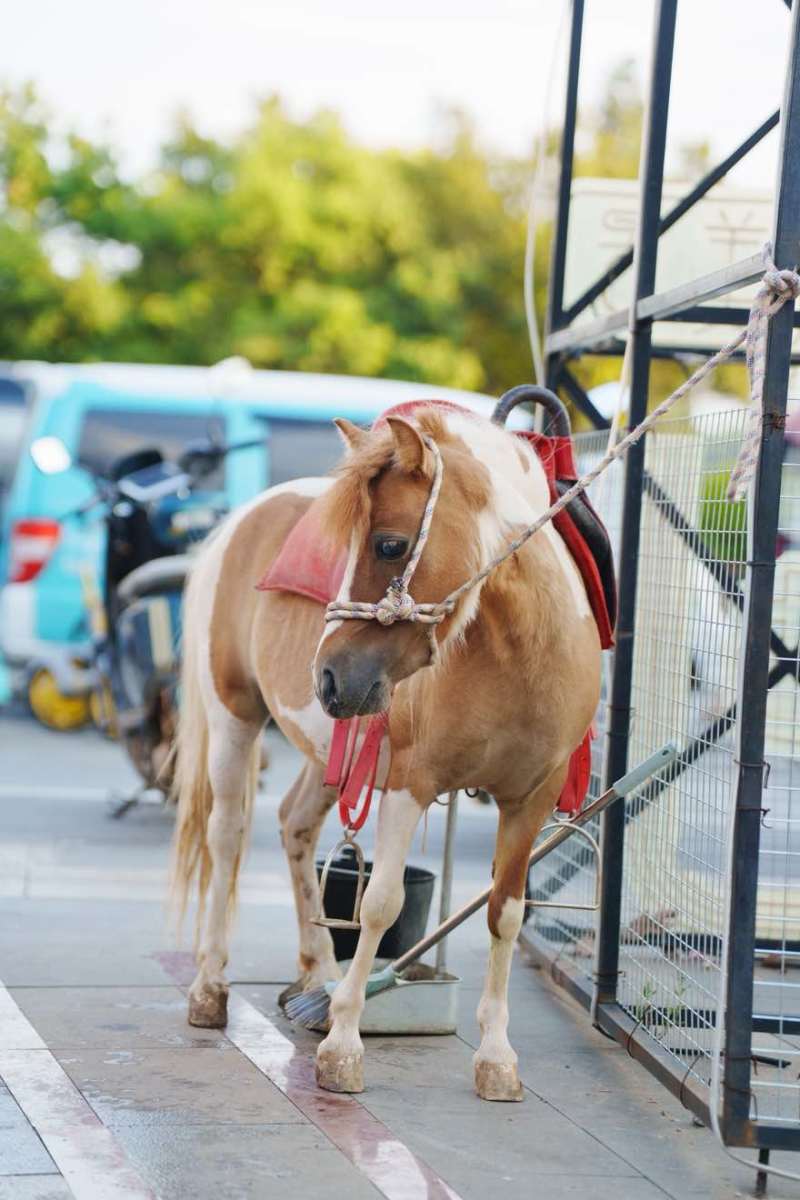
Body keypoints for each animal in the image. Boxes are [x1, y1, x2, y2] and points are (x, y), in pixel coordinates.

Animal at [170, 401, 601, 1101]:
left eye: (390, 545)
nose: (328, 676)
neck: (516, 654)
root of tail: (240, 519)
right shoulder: (408, 785)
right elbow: (380, 903)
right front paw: (343, 1040)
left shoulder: (529, 802)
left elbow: (506, 915)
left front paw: (496, 1055)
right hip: (234, 718)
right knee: (227, 836)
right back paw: (211, 986)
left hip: (326, 755)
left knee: (294, 827)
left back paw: (318, 970)